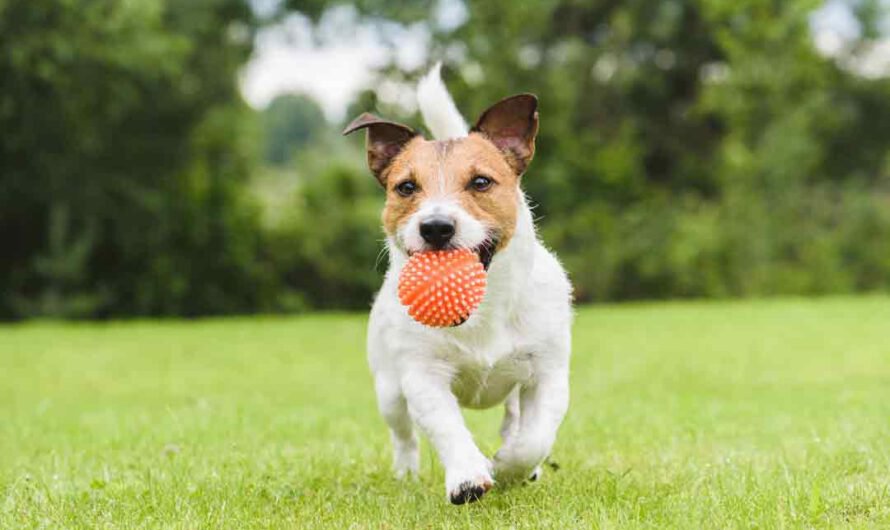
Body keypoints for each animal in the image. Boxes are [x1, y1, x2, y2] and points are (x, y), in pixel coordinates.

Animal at [344, 64, 572, 502]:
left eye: (481, 182)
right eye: (406, 187)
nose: (435, 227)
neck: (483, 310)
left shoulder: (548, 373)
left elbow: (535, 438)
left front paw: (511, 466)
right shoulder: (422, 377)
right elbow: (447, 427)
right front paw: (468, 476)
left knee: (514, 418)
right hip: (388, 389)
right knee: (403, 435)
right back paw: (406, 472)